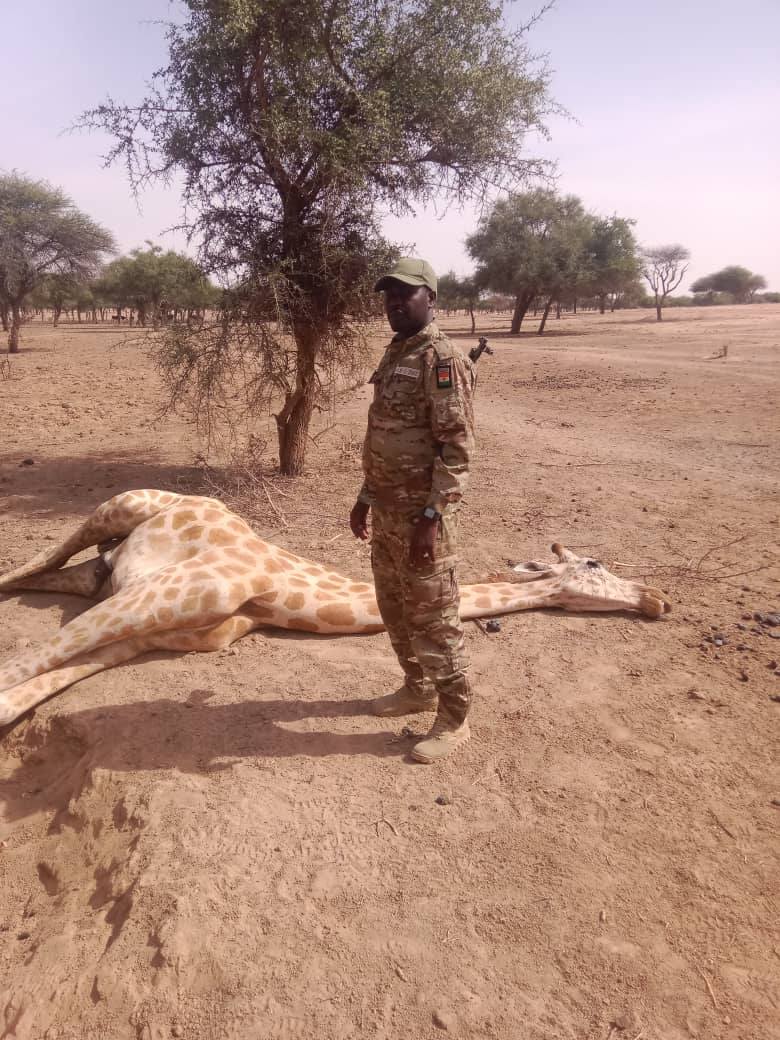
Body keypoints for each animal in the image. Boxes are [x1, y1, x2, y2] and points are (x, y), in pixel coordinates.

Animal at [0, 490, 671, 728]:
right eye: (594, 564)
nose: (658, 599)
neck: (273, 594)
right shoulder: (161, 595)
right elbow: (19, 665)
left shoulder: (161, 630)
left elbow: (30, 685)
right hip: (116, 507)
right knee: (31, 563)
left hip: (101, 571)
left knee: (60, 574)